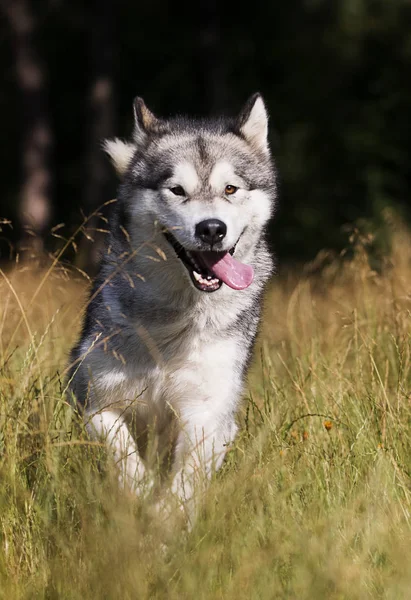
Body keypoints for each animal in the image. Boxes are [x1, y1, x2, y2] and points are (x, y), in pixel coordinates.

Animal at [68, 92, 276, 520]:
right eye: (177, 190)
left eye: (231, 189)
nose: (211, 229)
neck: (176, 317)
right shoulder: (95, 400)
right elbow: (121, 451)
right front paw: (141, 495)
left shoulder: (208, 412)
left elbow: (187, 480)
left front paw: (166, 520)